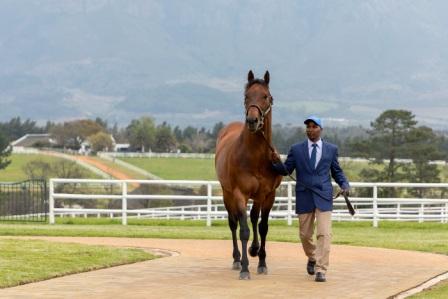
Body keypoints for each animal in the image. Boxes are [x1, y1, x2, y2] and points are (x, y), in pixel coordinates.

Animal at [215, 71, 282, 282]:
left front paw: (261, 262)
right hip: (227, 194)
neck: (256, 157)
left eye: (266, 96)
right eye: (246, 97)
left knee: (253, 218)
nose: (252, 121)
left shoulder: (268, 195)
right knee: (234, 223)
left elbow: (262, 226)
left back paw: (254, 249)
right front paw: (245, 268)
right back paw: (237, 259)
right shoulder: (239, 194)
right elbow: (244, 230)